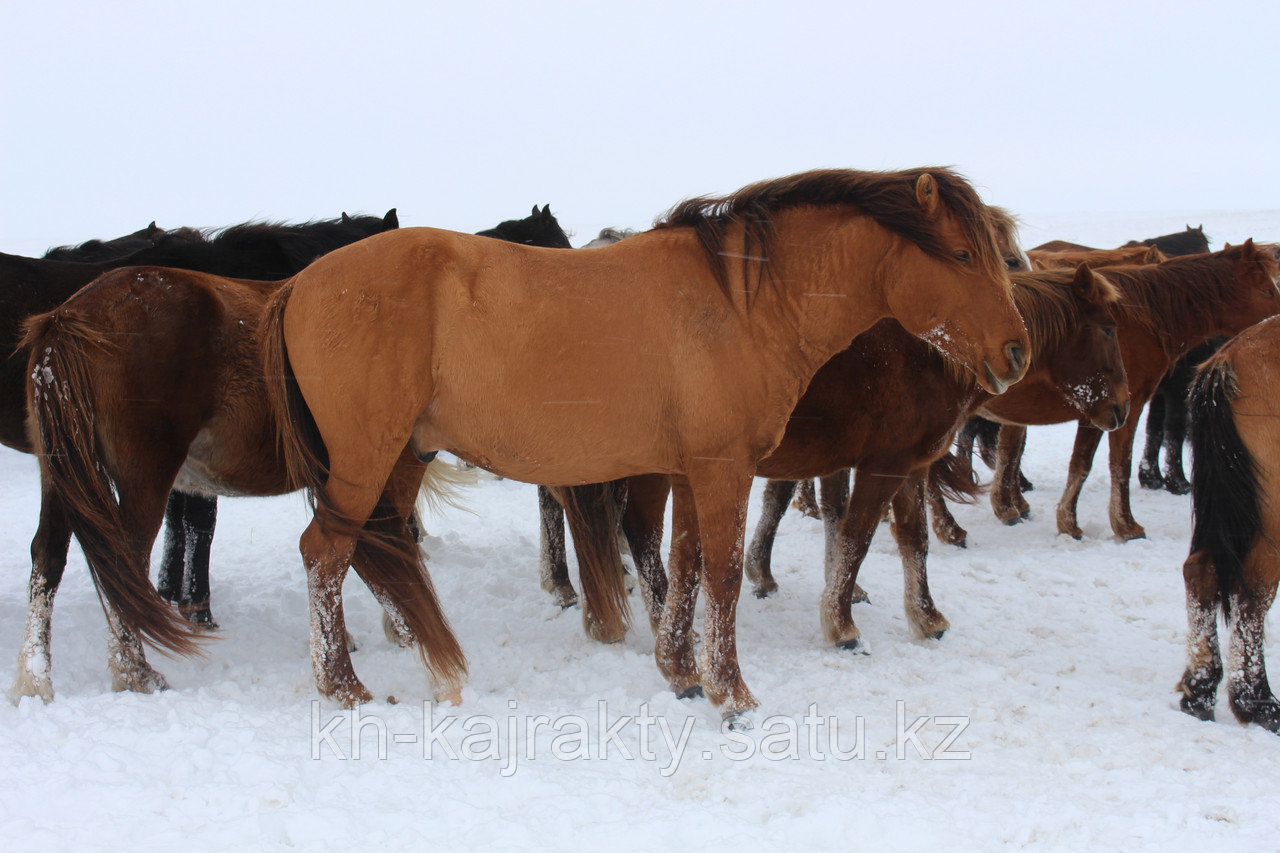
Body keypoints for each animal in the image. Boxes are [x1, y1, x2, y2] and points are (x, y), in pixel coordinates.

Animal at [983, 242, 1274, 537]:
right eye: (1267, 290)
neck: (1143, 320)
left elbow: (1071, 463)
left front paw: (1063, 521)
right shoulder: (1118, 409)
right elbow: (1115, 464)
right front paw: (1124, 525)